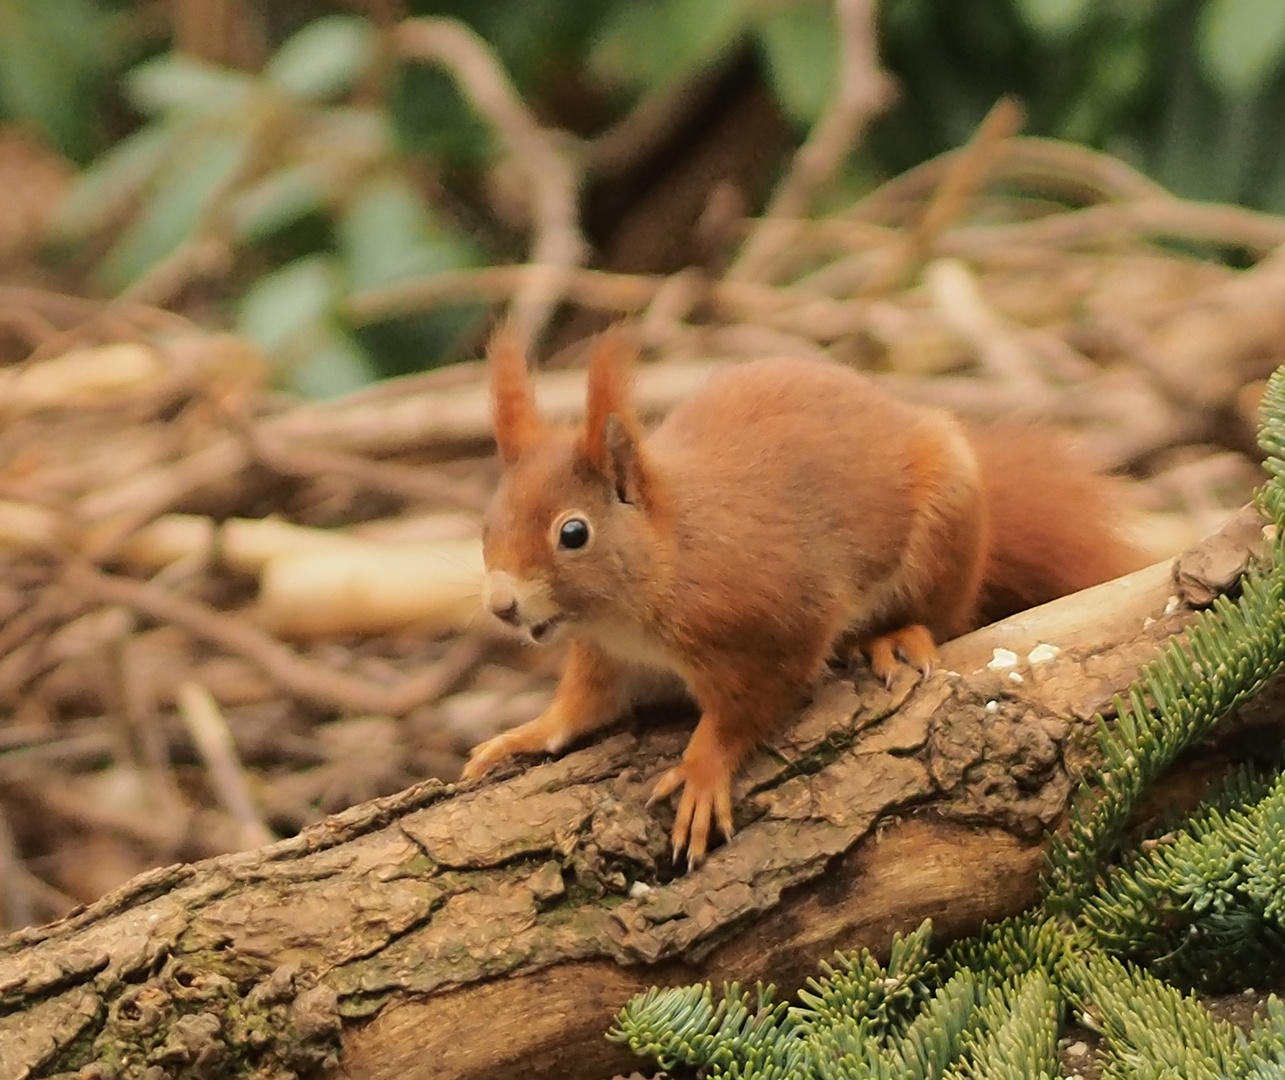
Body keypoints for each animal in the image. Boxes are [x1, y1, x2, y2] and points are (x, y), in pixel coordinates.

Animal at [462, 329, 1146, 869]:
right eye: (487, 523)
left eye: (573, 533)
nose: (502, 605)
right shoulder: (606, 655)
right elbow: (583, 707)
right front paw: (524, 735)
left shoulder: (775, 625)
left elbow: (750, 705)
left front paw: (703, 771)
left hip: (946, 530)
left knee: (942, 616)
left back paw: (893, 636)